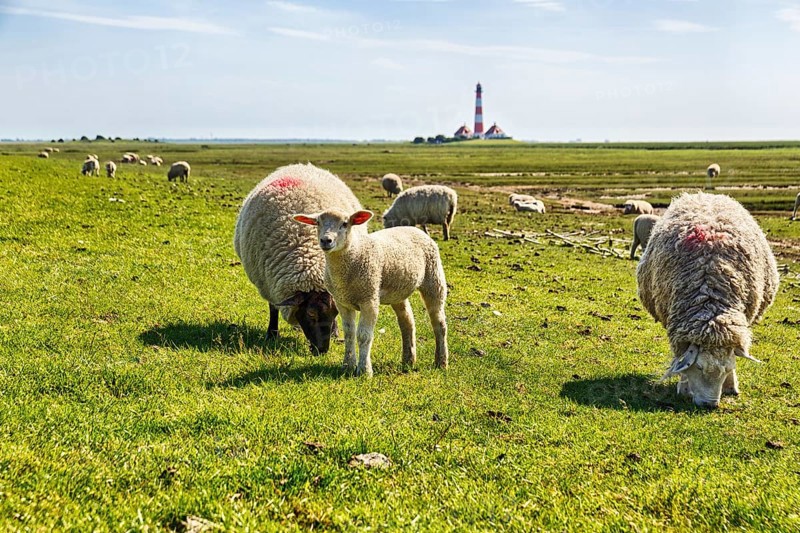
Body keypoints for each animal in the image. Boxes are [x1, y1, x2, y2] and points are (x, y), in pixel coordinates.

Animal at [234, 163, 365, 354]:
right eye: (310, 314)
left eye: (335, 313)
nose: (322, 350)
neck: (308, 258)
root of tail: (301, 165)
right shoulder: (268, 284)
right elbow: (273, 308)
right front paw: (272, 334)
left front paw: (334, 331)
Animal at [293, 209, 448, 377]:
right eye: (318, 223)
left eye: (345, 224)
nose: (326, 240)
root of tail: (414, 229)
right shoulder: (342, 302)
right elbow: (349, 334)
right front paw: (348, 366)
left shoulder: (369, 299)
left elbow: (363, 335)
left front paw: (364, 371)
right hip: (397, 291)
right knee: (407, 321)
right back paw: (408, 359)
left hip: (434, 279)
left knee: (439, 323)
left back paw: (441, 362)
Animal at [637, 192, 779, 408]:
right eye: (699, 368)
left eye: (727, 369)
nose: (710, 404)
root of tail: (703, 194)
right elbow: (681, 359)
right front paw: (684, 387)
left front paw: (731, 386)